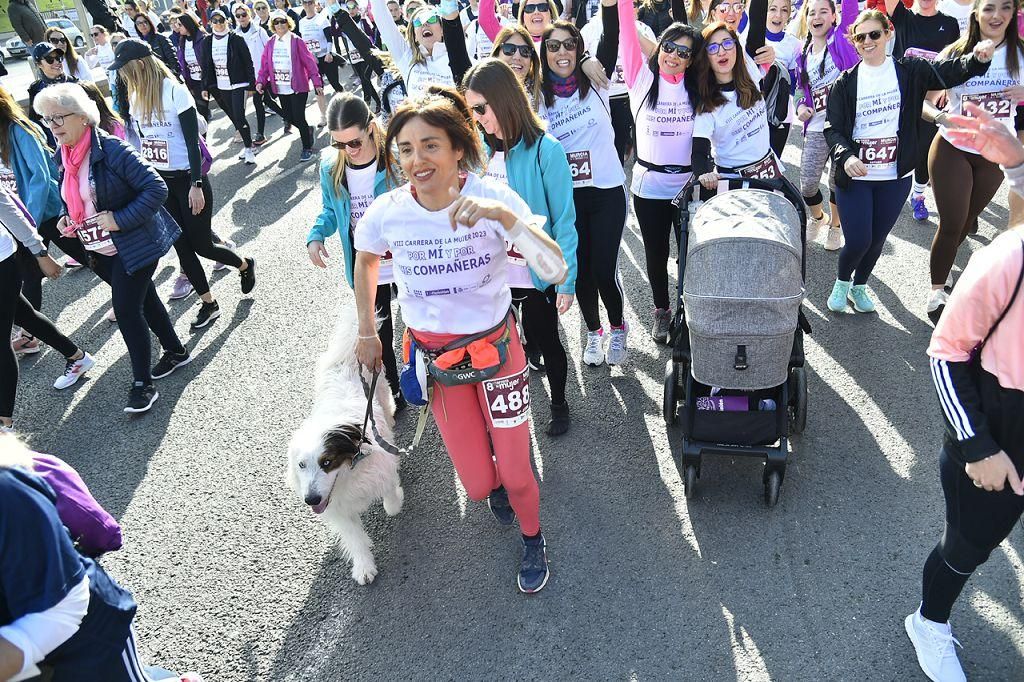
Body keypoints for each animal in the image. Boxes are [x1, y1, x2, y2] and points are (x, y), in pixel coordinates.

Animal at [288, 305, 403, 581]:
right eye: (301, 466)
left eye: (327, 462)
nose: (310, 500)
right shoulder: (337, 509)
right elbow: (354, 538)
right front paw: (364, 566)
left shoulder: (382, 469)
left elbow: (391, 497)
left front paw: (395, 502)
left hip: (380, 388)